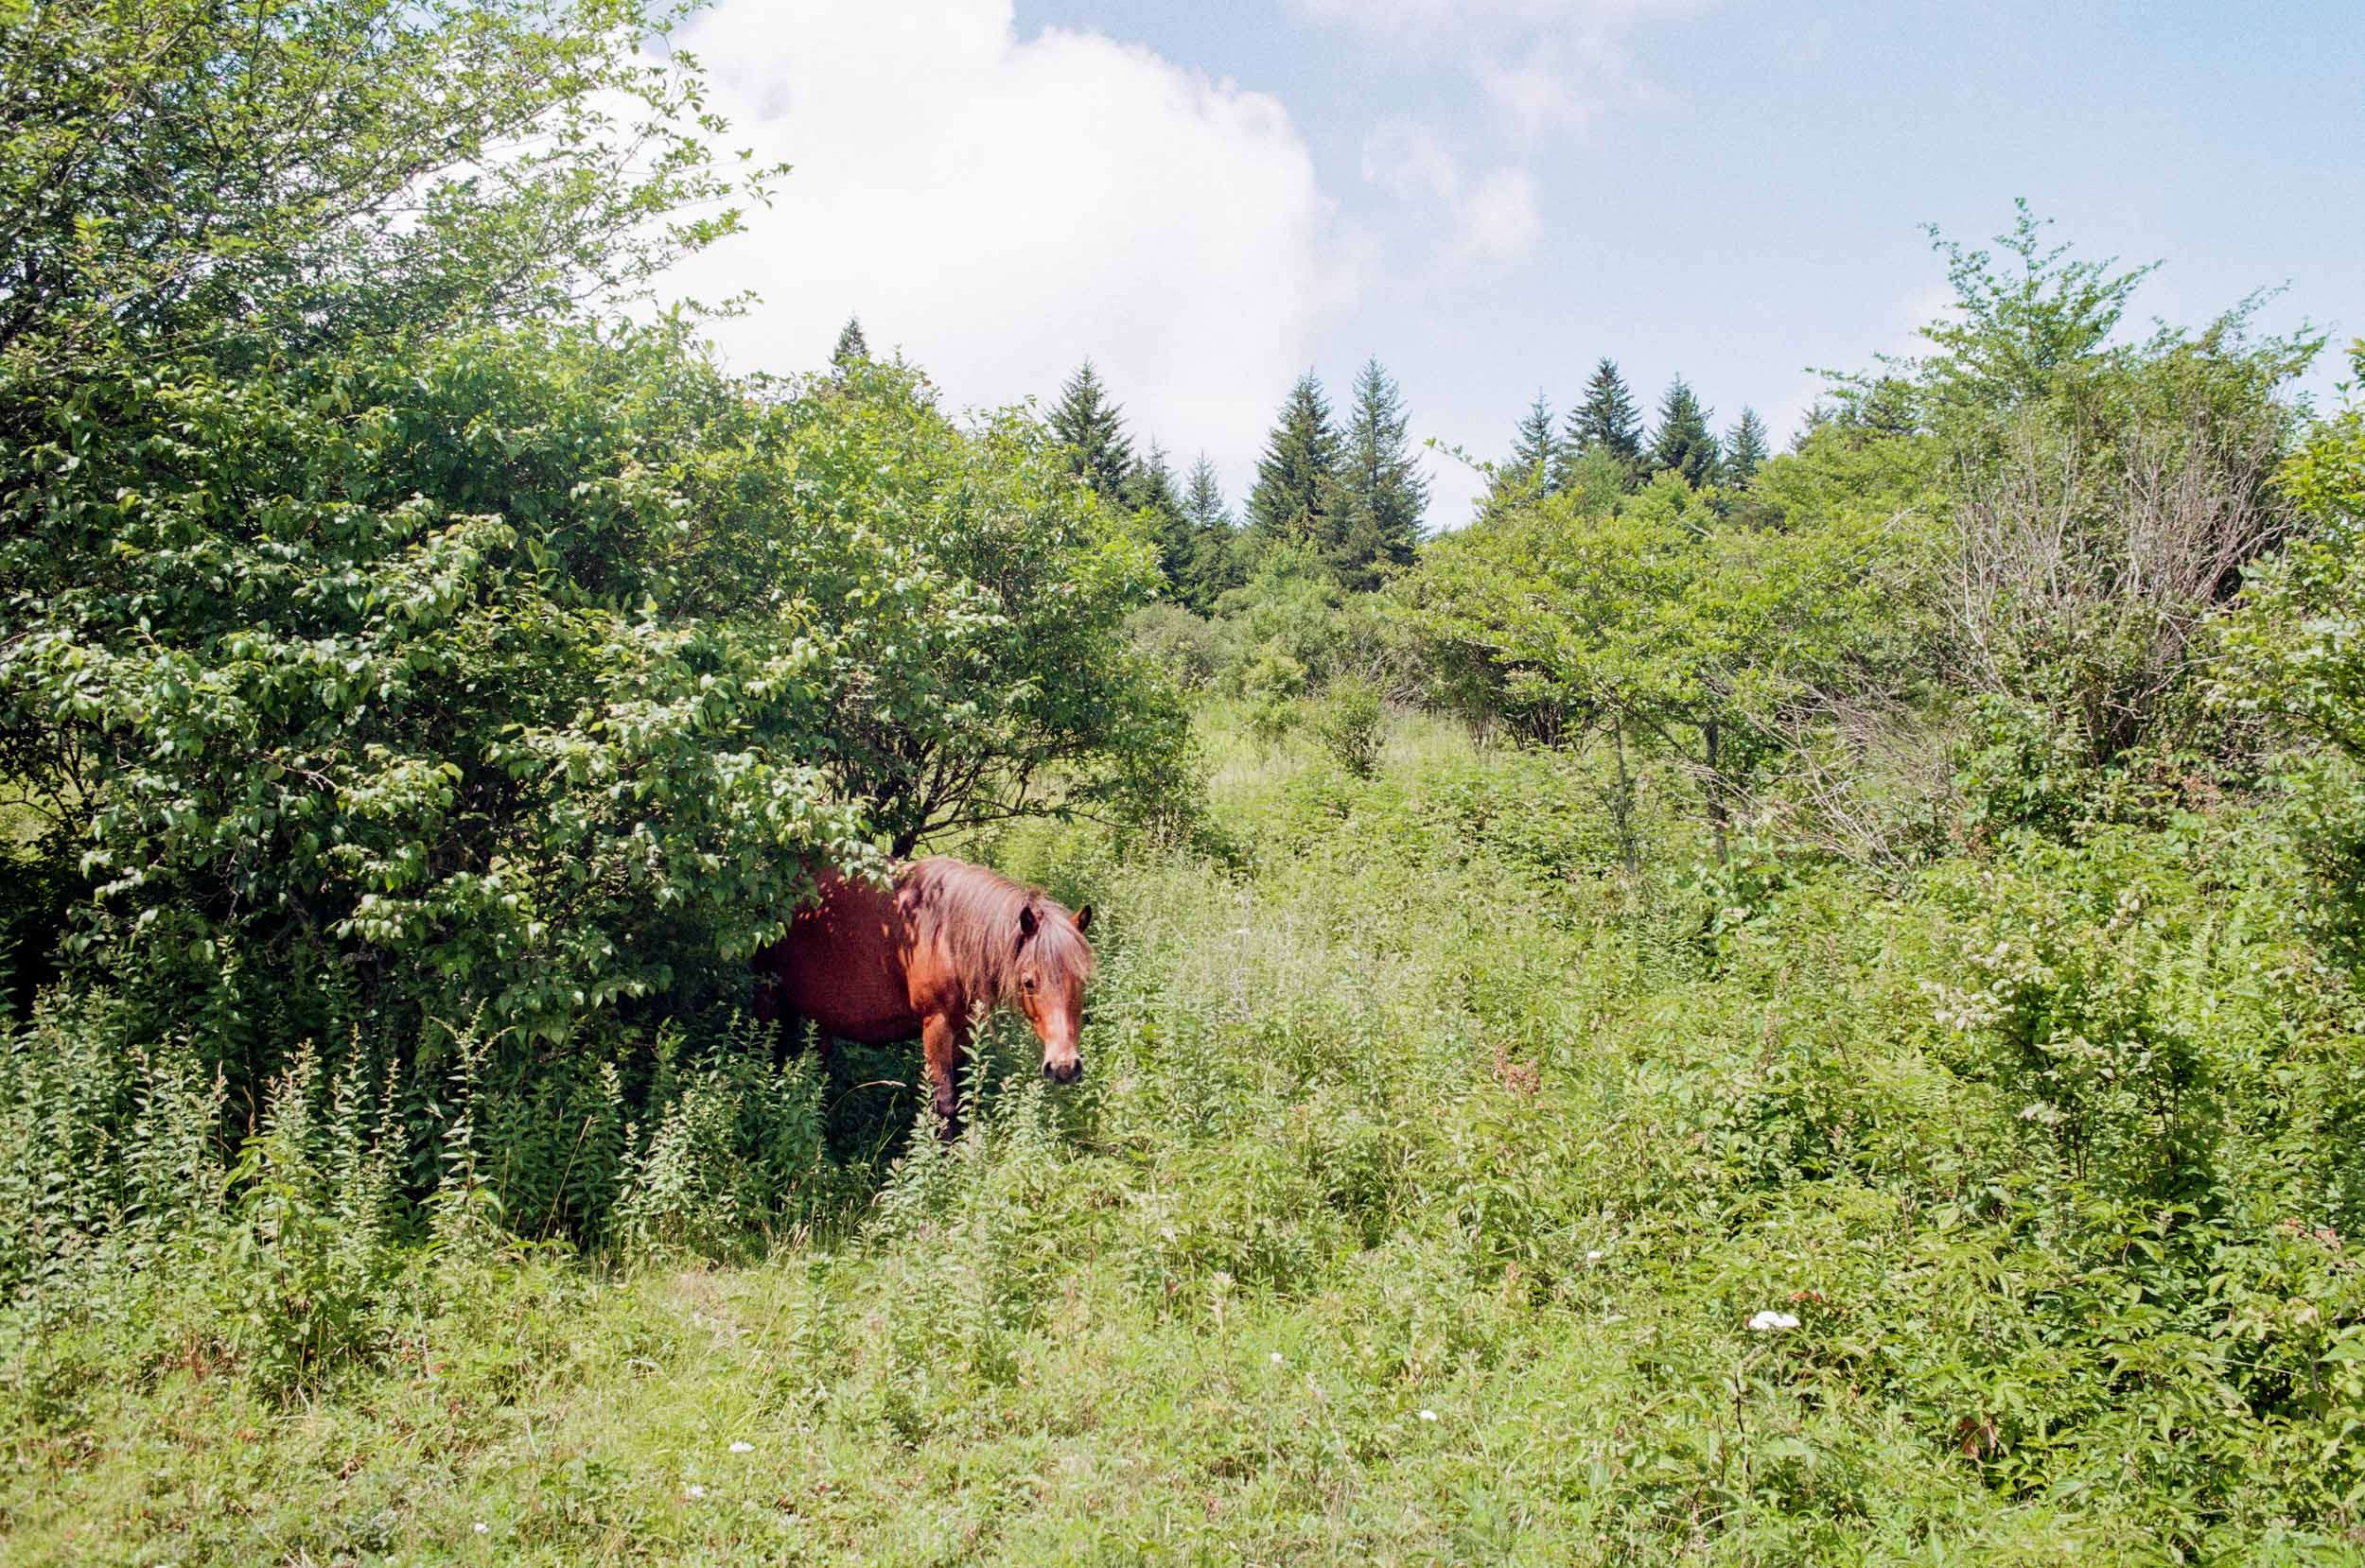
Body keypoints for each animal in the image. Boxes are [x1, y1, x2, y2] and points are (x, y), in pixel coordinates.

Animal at [751, 857, 1095, 1130]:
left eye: (1083, 980)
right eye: (1028, 981)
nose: (1064, 1067)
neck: (947, 935)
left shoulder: (965, 1029)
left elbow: (964, 1096)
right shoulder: (936, 1026)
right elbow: (944, 1102)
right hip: (768, 997)